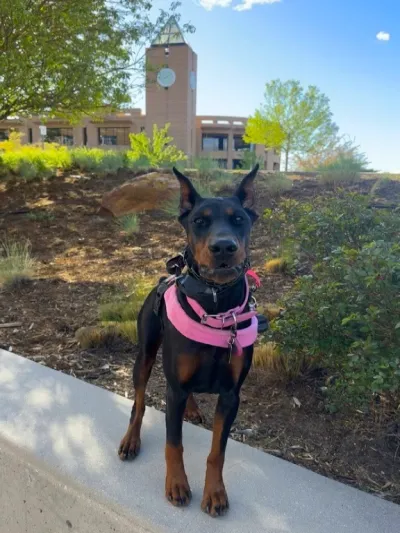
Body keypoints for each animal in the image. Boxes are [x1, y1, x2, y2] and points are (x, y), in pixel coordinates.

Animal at [117, 165, 260, 516]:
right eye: (199, 221)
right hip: (145, 355)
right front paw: (178, 485)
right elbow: (173, 443)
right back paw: (131, 439)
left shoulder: (231, 395)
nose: (223, 248)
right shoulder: (175, 388)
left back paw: (192, 409)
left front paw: (215, 492)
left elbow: (217, 451)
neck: (216, 305)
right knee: (139, 402)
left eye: (239, 219)